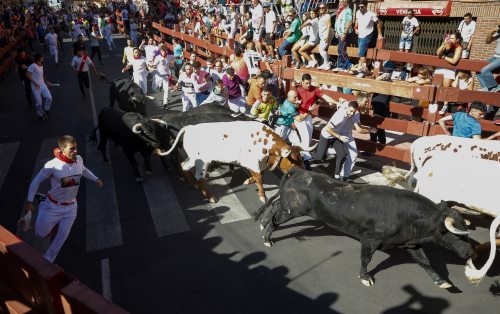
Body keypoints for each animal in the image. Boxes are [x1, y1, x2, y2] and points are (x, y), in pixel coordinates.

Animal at [154, 120, 314, 204]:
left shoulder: (252, 162)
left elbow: (257, 176)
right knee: (200, 177)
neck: (265, 142)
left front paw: (249, 181)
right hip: (202, 162)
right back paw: (209, 196)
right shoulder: (253, 162)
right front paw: (262, 196)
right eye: (292, 162)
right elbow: (260, 178)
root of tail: (189, 128)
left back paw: (191, 183)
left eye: (301, 159)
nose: (303, 174)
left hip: (193, 158)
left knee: (184, 165)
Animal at [256, 168, 490, 288]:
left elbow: (425, 262)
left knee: (274, 208)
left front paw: (441, 281)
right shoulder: (370, 240)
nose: (470, 253)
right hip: (293, 210)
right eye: (456, 234)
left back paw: (262, 224)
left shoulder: (412, 244)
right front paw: (365, 277)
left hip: (290, 208)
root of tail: (299, 170)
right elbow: (365, 259)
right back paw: (267, 237)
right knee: (276, 218)